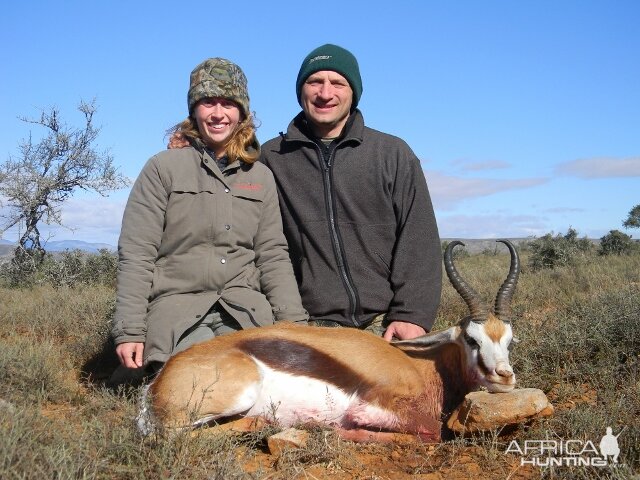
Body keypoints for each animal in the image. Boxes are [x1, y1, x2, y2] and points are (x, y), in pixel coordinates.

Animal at [140, 240, 520, 442]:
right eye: (472, 339)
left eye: (509, 340)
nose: (504, 376)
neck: (419, 366)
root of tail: (158, 383)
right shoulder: (372, 408)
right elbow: (429, 430)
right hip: (232, 400)